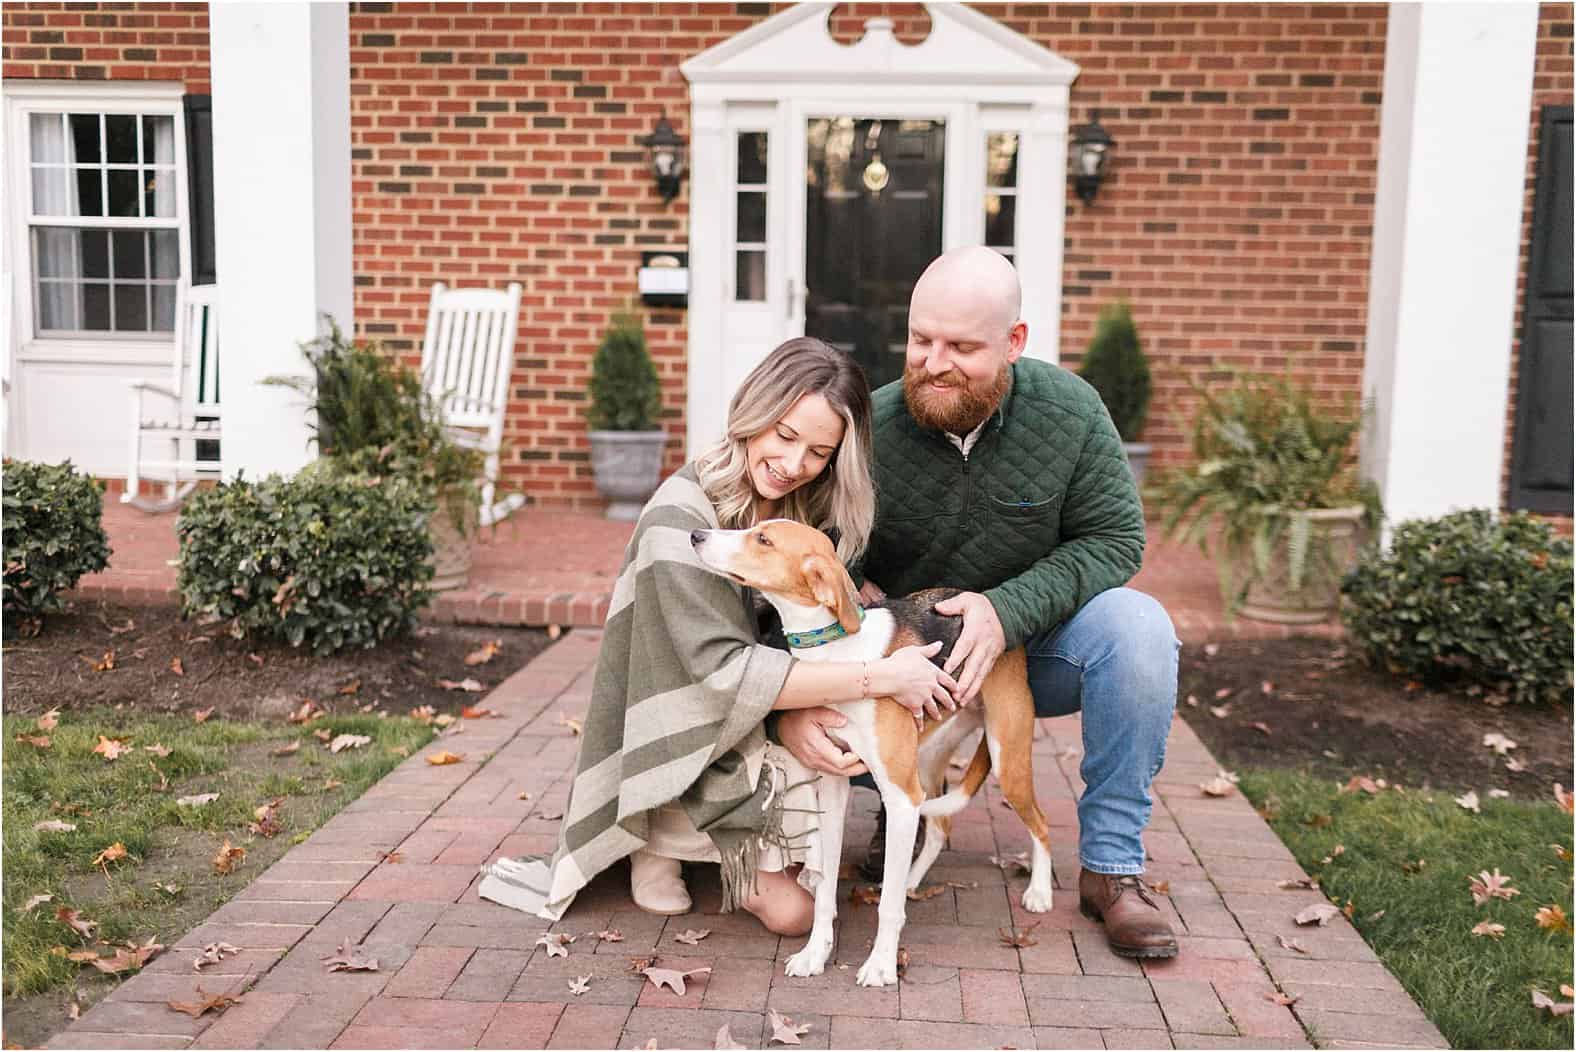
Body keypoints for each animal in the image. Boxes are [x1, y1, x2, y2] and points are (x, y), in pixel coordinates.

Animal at [693, 516, 1052, 989]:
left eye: (764, 539)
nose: (696, 536)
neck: (839, 653)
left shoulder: (899, 798)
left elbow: (886, 912)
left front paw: (881, 964)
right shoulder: (834, 786)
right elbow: (825, 888)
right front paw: (815, 953)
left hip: (1005, 760)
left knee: (1040, 825)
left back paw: (1039, 892)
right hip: (926, 762)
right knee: (939, 829)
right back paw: (911, 880)